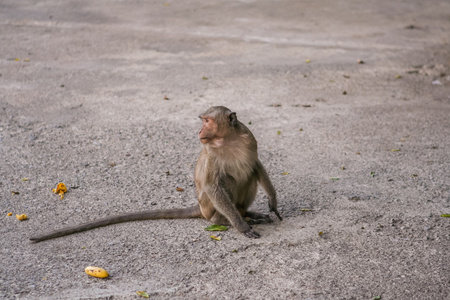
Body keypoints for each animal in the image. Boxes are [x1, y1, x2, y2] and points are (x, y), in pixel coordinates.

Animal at [29, 106, 280, 243]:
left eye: (207, 121)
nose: (199, 131)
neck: (226, 140)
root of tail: (200, 209)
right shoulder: (210, 152)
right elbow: (211, 185)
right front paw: (242, 227)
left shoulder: (248, 138)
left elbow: (255, 165)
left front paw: (272, 202)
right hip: (209, 208)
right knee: (225, 183)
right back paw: (231, 219)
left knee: (247, 174)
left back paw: (247, 213)